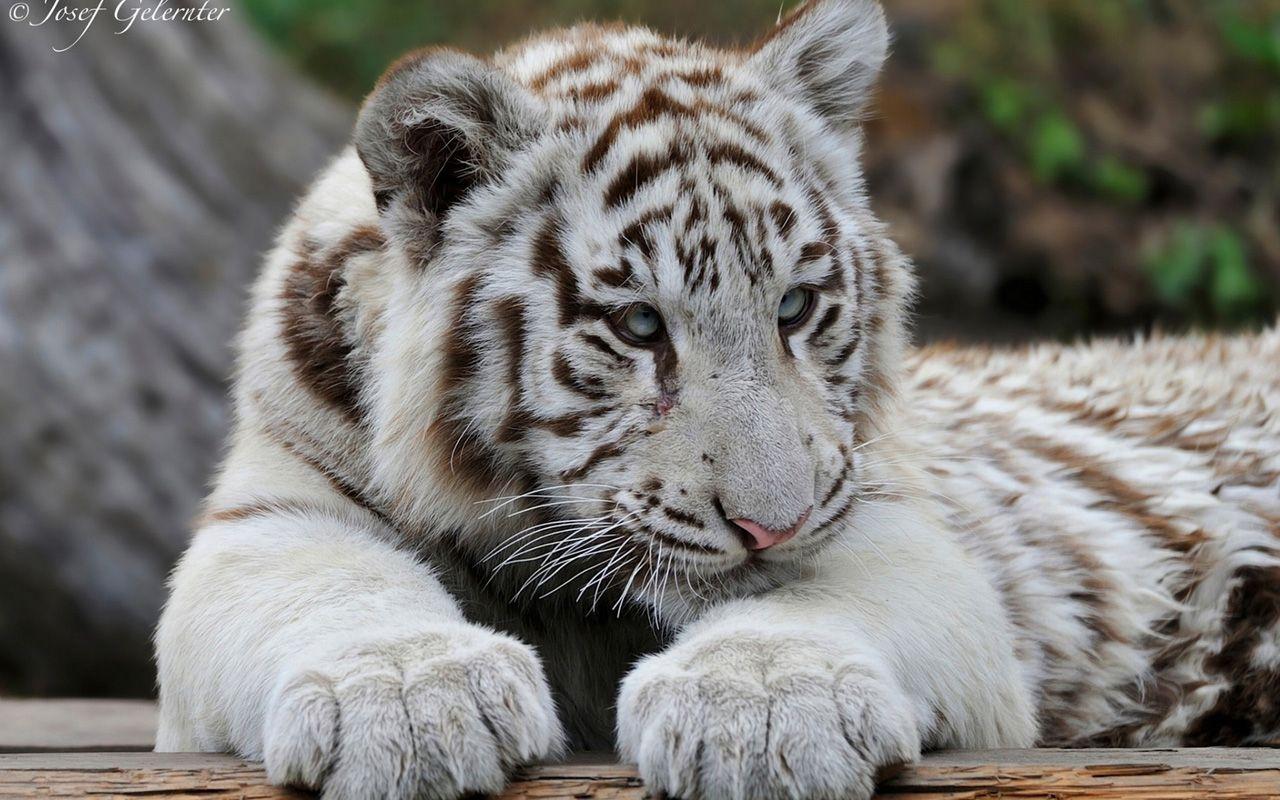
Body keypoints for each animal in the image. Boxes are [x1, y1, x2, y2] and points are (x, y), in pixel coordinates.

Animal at [153, 1, 1280, 798]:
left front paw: (760, 710)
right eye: (639, 326)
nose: (770, 523)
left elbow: (817, 601)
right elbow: (326, 585)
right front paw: (410, 701)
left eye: (794, 305)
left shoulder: (897, 528)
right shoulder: (272, 509)